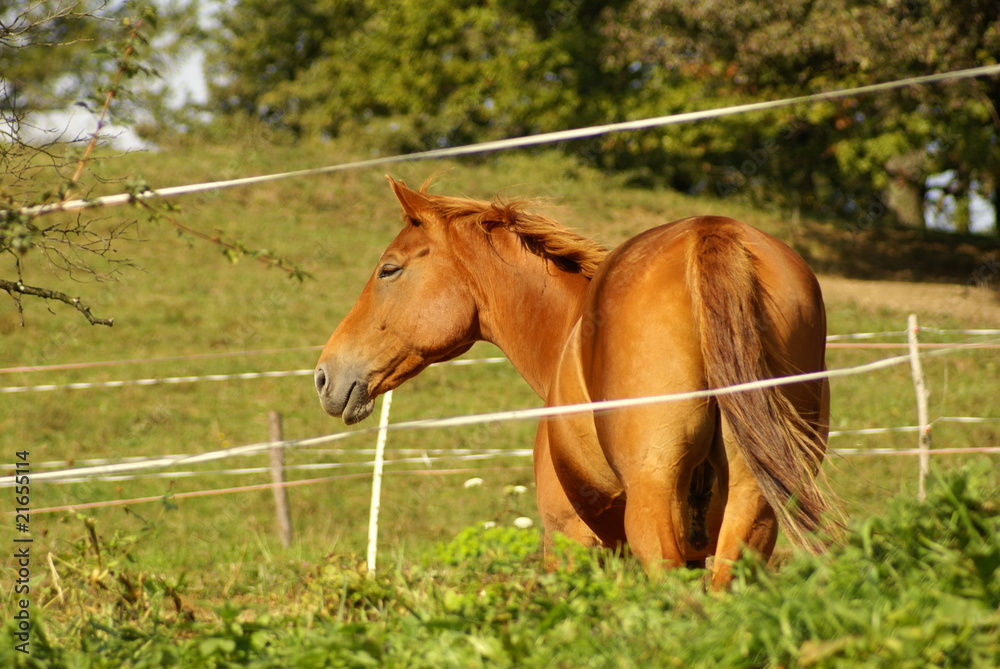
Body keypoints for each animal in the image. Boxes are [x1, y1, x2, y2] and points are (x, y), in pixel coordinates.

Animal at [316, 175, 832, 588]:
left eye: (389, 269)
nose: (324, 375)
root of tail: (710, 233)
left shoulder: (568, 539)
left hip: (654, 503)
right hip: (754, 504)